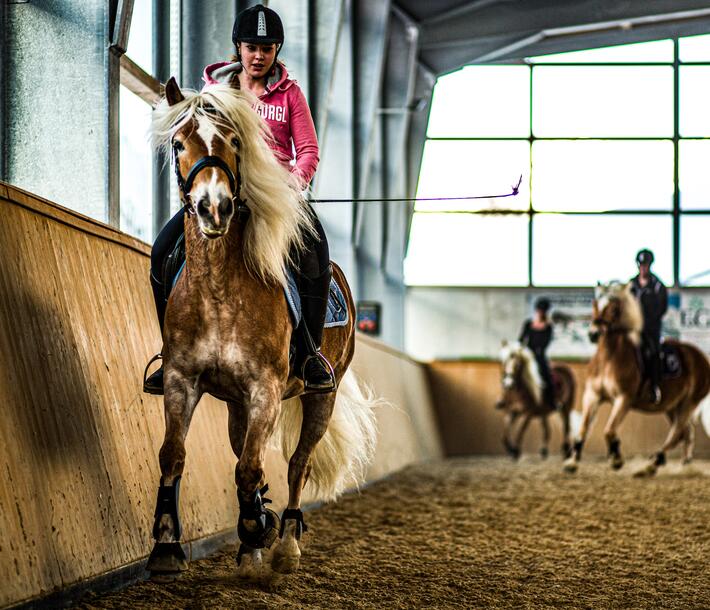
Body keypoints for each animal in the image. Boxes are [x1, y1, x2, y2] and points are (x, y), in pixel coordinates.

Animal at [144, 77, 378, 580]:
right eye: (178, 143)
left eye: (234, 142)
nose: (214, 208)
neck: (218, 289)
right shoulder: (181, 381)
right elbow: (174, 454)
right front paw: (167, 546)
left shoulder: (265, 390)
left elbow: (253, 468)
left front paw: (258, 527)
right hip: (236, 403)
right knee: (243, 454)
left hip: (321, 395)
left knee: (297, 464)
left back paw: (284, 542)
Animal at [564, 280, 708, 476]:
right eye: (595, 304)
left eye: (614, 308)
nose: (594, 334)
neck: (609, 358)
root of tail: (701, 357)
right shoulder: (592, 395)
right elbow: (583, 429)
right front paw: (572, 462)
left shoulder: (623, 399)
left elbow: (609, 430)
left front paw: (616, 459)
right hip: (672, 406)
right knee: (685, 432)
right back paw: (683, 464)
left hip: (689, 403)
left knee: (677, 432)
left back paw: (651, 465)